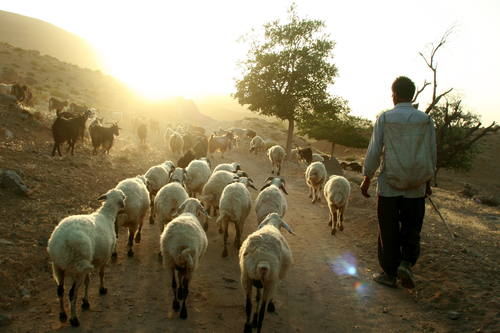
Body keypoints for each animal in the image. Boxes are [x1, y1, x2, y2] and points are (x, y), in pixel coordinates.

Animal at [46, 188, 126, 326]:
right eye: (123, 197)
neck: (107, 215)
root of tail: (62, 242)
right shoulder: (105, 257)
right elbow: (101, 274)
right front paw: (102, 289)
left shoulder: (91, 261)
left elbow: (88, 281)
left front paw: (86, 301)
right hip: (78, 265)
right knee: (71, 293)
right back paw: (74, 319)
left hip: (58, 266)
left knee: (60, 290)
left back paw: (62, 314)